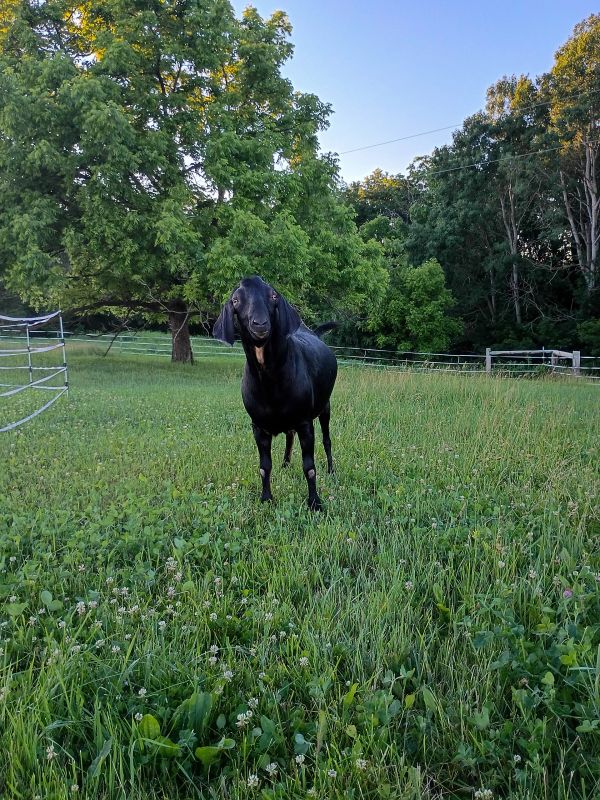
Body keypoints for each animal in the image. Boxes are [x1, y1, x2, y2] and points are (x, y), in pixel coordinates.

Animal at [213, 276, 337, 511]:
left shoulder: (305, 422)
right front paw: (266, 498)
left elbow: (309, 467)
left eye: (273, 296)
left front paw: (315, 502)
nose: (260, 324)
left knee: (327, 439)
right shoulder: (258, 426)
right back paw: (285, 464)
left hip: (325, 406)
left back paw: (332, 471)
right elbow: (264, 466)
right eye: (235, 300)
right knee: (289, 436)